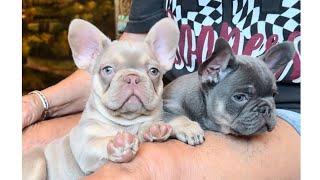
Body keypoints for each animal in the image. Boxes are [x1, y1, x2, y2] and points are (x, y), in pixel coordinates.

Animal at [23, 17, 182, 180]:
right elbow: (97, 143)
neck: (126, 122)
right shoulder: (85, 145)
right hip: (37, 160)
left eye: (154, 71)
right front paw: (121, 145)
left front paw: (155, 129)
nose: (132, 77)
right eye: (107, 70)